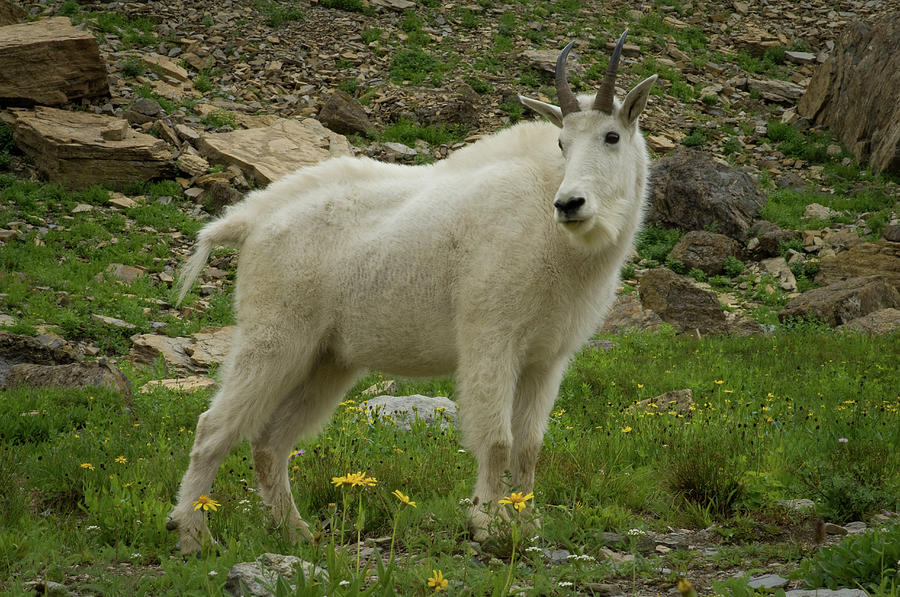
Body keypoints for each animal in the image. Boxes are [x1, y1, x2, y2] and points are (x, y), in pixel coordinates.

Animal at [167, 31, 652, 556]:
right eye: (562, 142)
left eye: (612, 136)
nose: (569, 204)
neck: (557, 240)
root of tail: (251, 221)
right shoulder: (491, 339)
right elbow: (497, 441)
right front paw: (487, 526)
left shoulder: (546, 358)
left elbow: (529, 447)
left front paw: (526, 526)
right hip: (275, 336)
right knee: (212, 428)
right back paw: (193, 534)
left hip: (327, 359)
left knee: (271, 441)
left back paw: (296, 532)